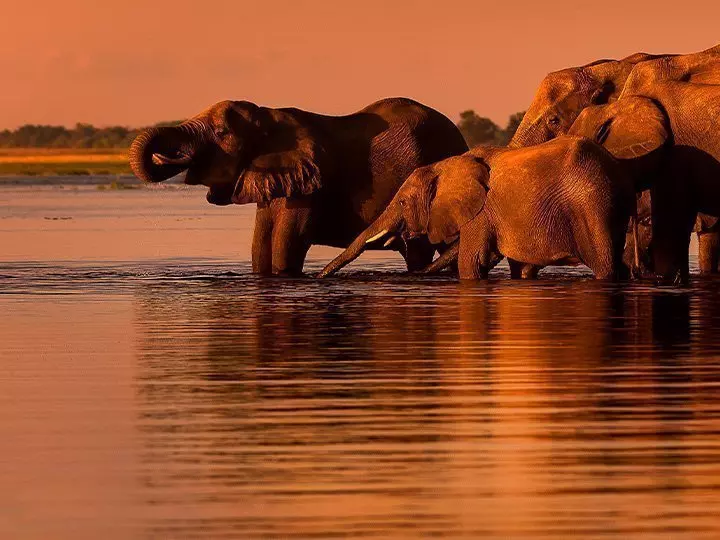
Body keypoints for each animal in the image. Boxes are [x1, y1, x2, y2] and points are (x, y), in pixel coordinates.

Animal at [318, 137, 635, 281]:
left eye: (403, 202)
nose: (319, 277)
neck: (446, 165)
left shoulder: (480, 213)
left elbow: (471, 261)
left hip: (592, 206)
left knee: (606, 265)